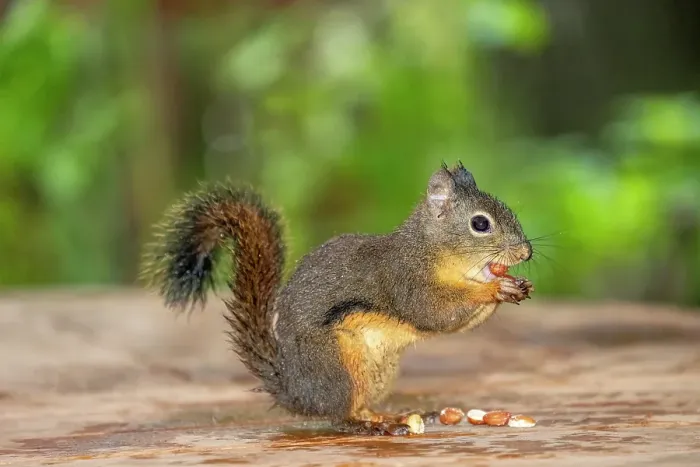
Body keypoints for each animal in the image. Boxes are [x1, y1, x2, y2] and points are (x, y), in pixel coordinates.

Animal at [140, 161, 534, 436]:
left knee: (357, 408)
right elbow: (434, 313)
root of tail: (295, 390)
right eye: (480, 224)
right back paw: (373, 427)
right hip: (338, 365)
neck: (431, 249)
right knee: (340, 418)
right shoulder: (405, 280)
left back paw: (388, 416)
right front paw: (495, 289)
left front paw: (515, 285)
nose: (526, 252)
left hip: (377, 374)